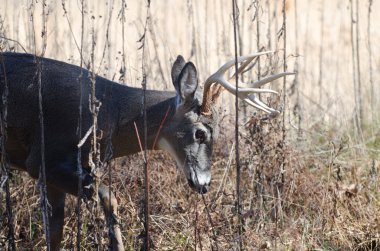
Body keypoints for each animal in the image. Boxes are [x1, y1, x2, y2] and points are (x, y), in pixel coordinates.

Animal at [0, 50, 292, 249]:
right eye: (200, 133)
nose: (205, 184)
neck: (109, 114)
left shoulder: (55, 171)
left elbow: (55, 233)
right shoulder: (43, 157)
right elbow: (108, 195)